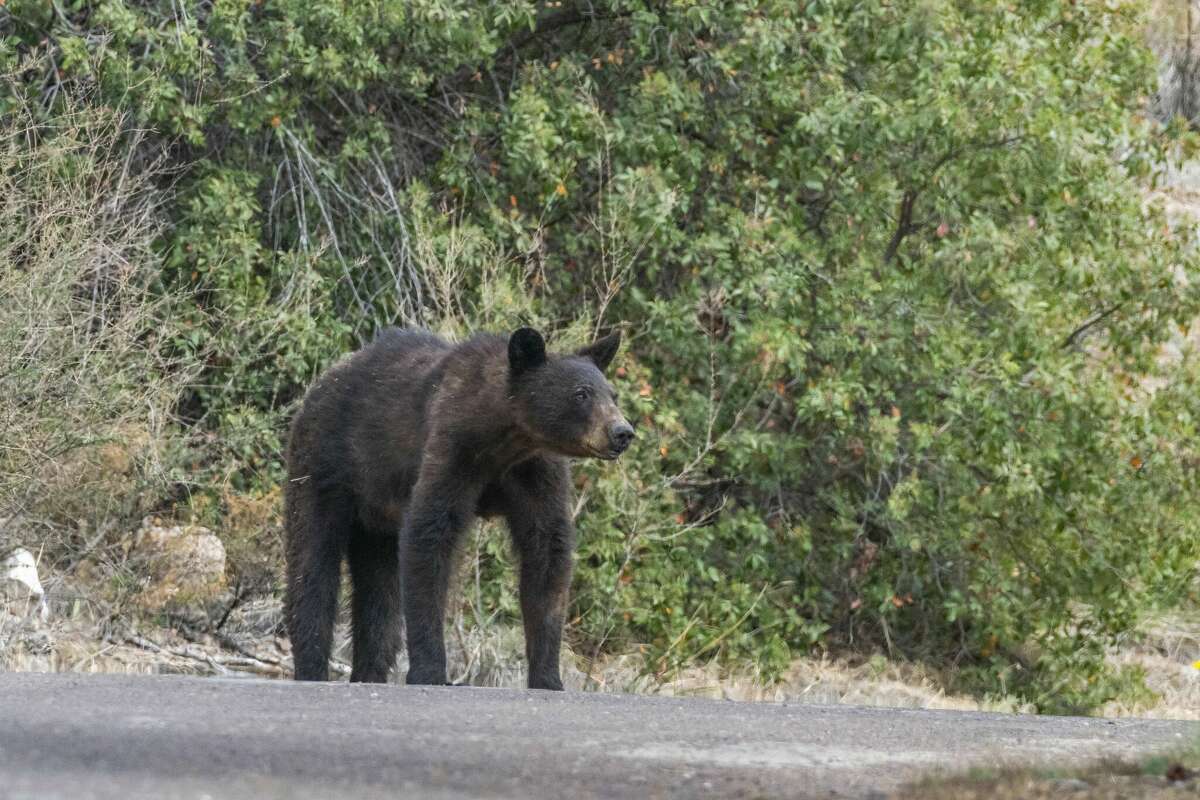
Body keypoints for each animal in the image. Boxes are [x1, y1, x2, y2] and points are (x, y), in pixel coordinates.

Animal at [284, 326, 633, 690]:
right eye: (581, 394)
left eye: (612, 395)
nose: (622, 432)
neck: (506, 439)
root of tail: (322, 382)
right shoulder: (453, 449)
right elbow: (430, 534)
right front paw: (430, 671)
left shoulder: (534, 472)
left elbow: (548, 550)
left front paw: (548, 677)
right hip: (325, 467)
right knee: (311, 562)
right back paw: (311, 668)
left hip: (377, 516)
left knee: (380, 592)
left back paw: (369, 675)